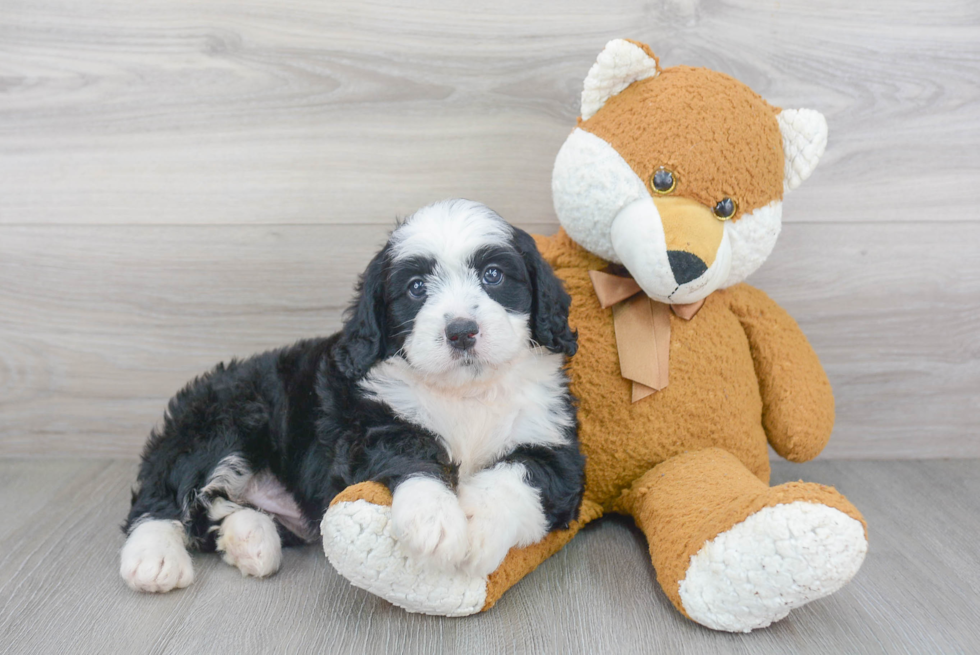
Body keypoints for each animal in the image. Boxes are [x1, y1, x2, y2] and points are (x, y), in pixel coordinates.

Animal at [119, 197, 584, 592]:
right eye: (416, 287)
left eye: (493, 276)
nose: (461, 331)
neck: (466, 391)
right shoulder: (367, 426)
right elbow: (411, 452)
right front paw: (434, 520)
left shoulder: (557, 449)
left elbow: (517, 475)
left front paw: (479, 529)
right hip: (223, 419)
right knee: (162, 495)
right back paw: (154, 558)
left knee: (211, 510)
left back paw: (250, 540)